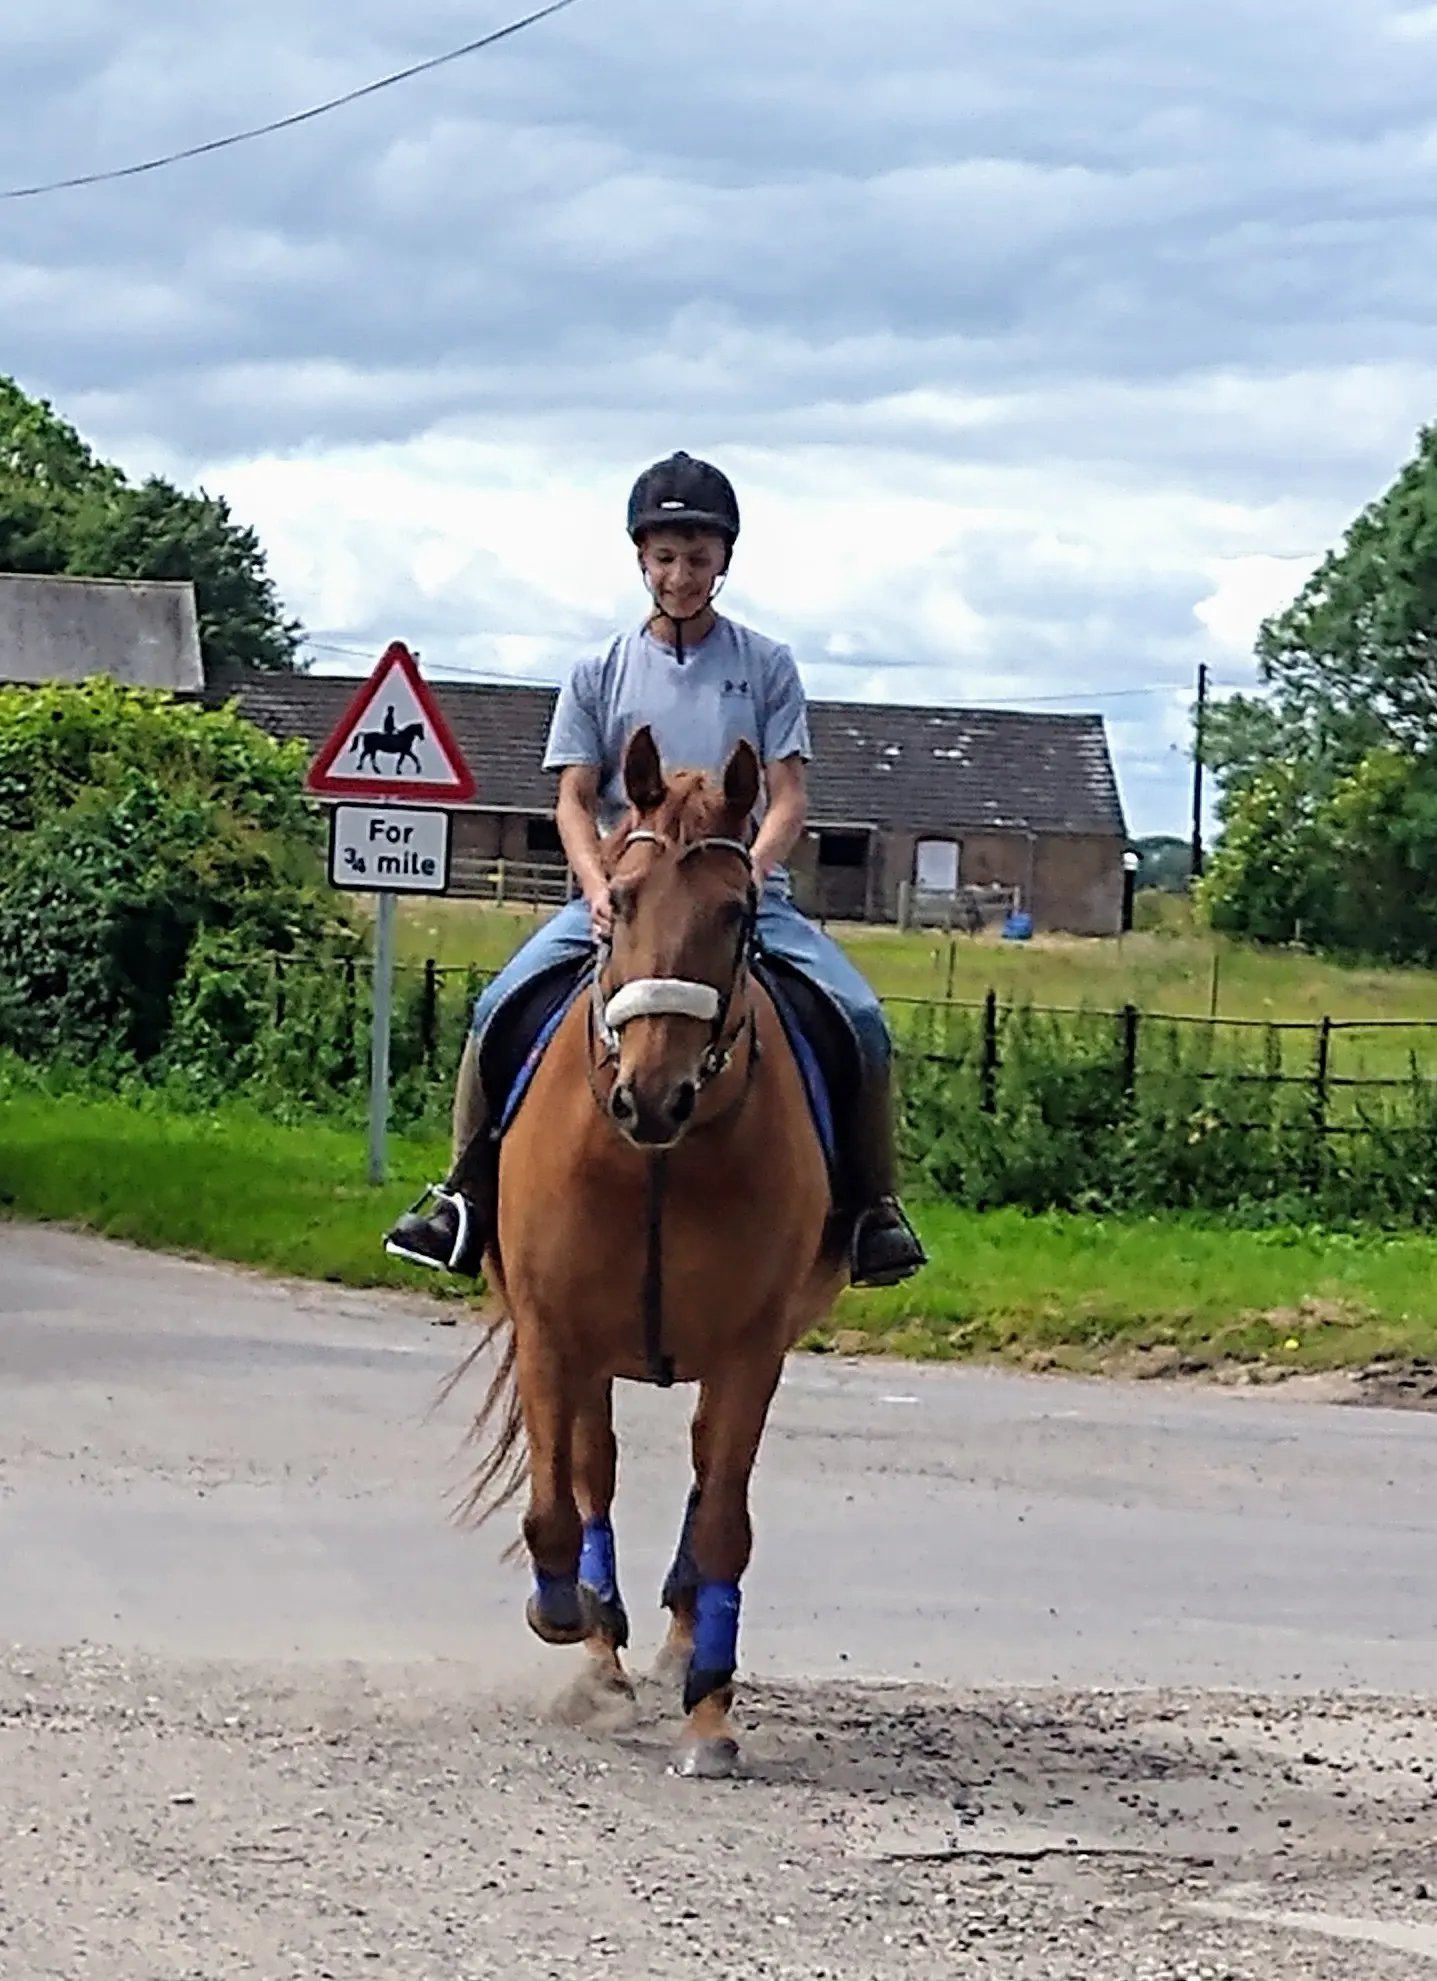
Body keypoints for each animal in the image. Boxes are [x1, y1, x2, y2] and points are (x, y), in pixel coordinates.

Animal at [447, 724, 850, 1778]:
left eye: (736, 909)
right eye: (621, 898)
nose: (651, 1095)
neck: (662, 1160)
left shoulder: (752, 1351)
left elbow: (722, 1525)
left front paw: (709, 1714)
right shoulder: (551, 1332)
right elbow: (558, 1502)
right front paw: (567, 1613)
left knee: (706, 1485)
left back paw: (674, 1646)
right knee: (594, 1476)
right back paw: (601, 1652)